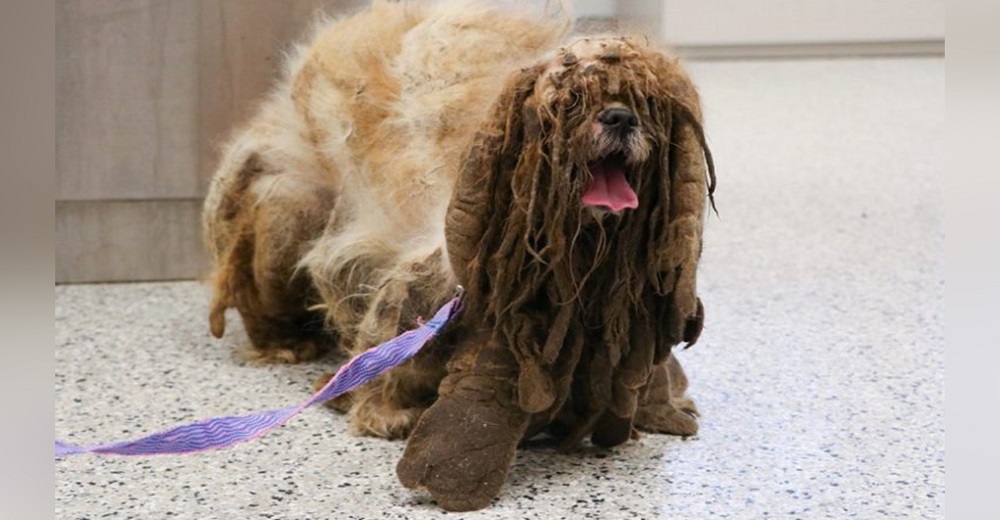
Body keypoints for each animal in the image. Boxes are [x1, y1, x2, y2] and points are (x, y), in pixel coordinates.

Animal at [203, 0, 716, 512]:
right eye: (572, 102)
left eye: (644, 103)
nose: (620, 118)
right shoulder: (423, 286)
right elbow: (389, 346)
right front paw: (385, 414)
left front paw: (663, 405)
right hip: (286, 212)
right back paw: (287, 344)